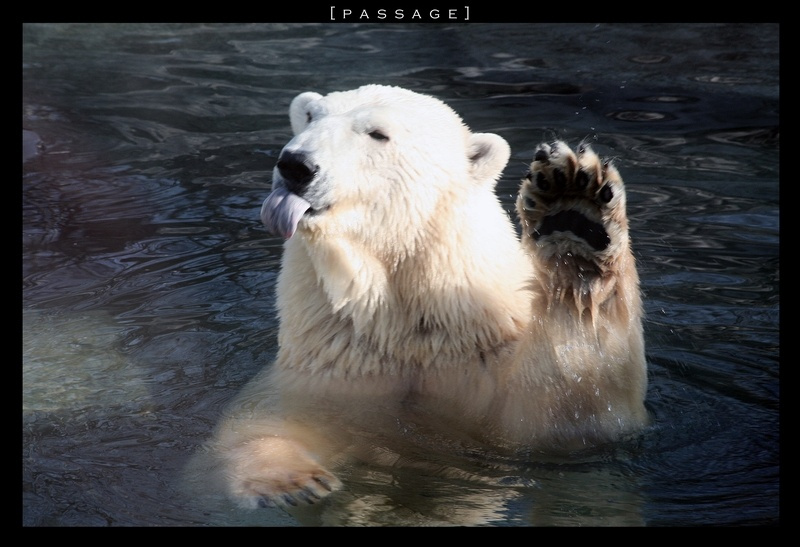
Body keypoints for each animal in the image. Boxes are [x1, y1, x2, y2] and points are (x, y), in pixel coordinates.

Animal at [203, 84, 648, 511]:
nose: (295, 165)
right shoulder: (333, 369)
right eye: (312, 116)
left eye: (378, 133)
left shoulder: (482, 368)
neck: (412, 331)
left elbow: (562, 414)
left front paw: (575, 212)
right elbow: (263, 424)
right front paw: (294, 482)